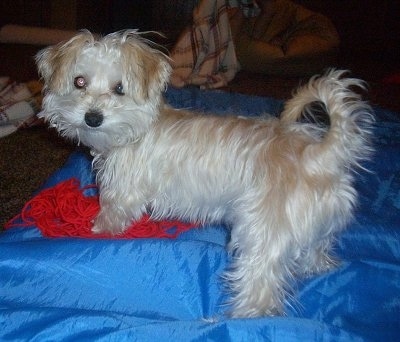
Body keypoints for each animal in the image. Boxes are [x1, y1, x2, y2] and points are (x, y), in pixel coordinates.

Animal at [36, 30, 374, 318]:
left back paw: (230, 322)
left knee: (260, 294)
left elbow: (109, 220)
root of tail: (320, 155)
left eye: (120, 88)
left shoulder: (122, 196)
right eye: (79, 82)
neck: (136, 130)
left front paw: (93, 233)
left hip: (261, 238)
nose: (92, 118)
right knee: (317, 255)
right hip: (317, 229)